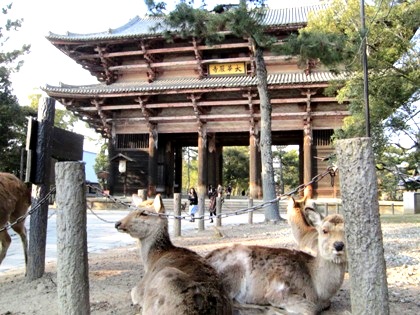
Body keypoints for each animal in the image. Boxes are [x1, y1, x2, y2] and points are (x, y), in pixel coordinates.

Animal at [205, 210, 346, 315]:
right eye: (324, 230)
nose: (339, 245)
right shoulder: (278, 289)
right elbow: (310, 309)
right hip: (233, 273)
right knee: (229, 302)